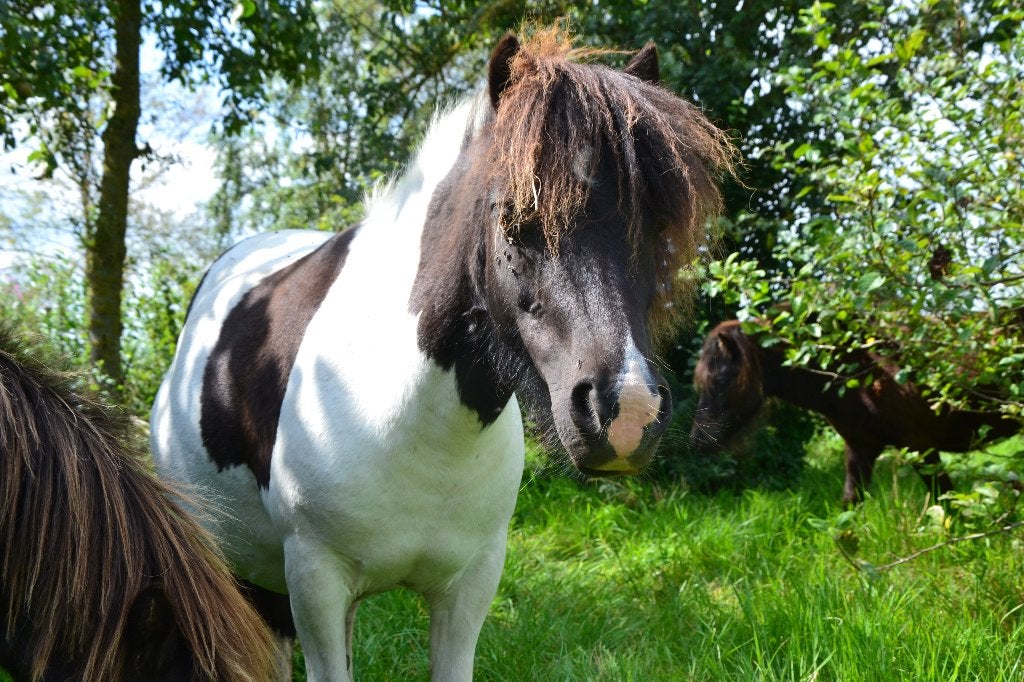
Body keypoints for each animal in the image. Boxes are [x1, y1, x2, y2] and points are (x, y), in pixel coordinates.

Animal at [150, 28, 736, 681]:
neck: (402, 412)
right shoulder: (314, 582)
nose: (628, 413)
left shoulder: (469, 587)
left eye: (656, 228)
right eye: (515, 217)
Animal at [691, 320, 1020, 504]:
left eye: (721, 381)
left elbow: (947, 501)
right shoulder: (861, 447)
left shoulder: (922, 448)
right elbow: (850, 506)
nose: (696, 442)